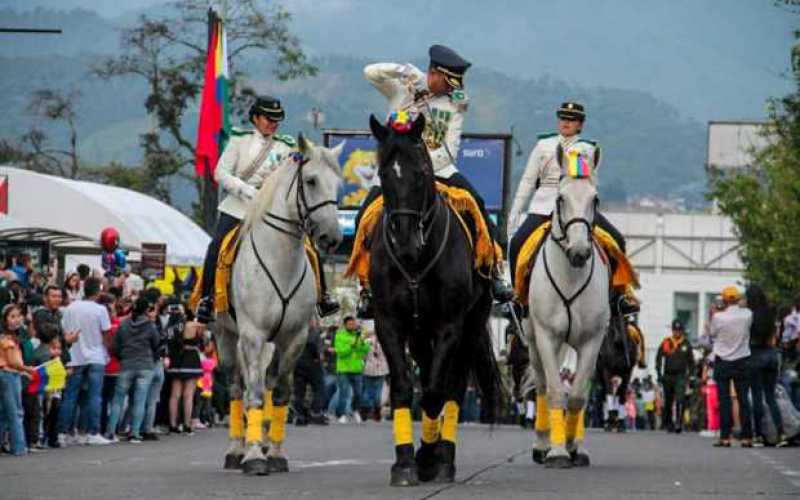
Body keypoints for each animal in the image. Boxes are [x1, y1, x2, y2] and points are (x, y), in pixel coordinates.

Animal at [217, 137, 342, 476]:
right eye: (310, 181)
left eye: (337, 184)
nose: (332, 238)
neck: (280, 260)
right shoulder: (253, 335)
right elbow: (255, 395)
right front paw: (253, 457)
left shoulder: (294, 337)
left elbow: (281, 395)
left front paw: (274, 453)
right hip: (225, 337)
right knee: (236, 389)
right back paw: (235, 450)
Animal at [368, 114, 500, 484]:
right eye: (384, 173)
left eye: (420, 173)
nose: (404, 241)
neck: (416, 262)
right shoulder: (389, 323)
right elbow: (404, 386)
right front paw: (404, 462)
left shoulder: (449, 326)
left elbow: (435, 392)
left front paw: (429, 458)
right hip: (418, 332)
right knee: (428, 372)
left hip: (471, 326)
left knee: (452, 387)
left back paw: (444, 457)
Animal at [524, 144, 608, 468]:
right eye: (561, 198)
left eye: (595, 199)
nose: (579, 252)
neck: (570, 275)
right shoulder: (547, 336)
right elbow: (556, 392)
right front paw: (557, 452)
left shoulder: (592, 340)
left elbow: (578, 396)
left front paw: (574, 447)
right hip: (534, 340)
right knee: (542, 386)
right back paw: (541, 445)